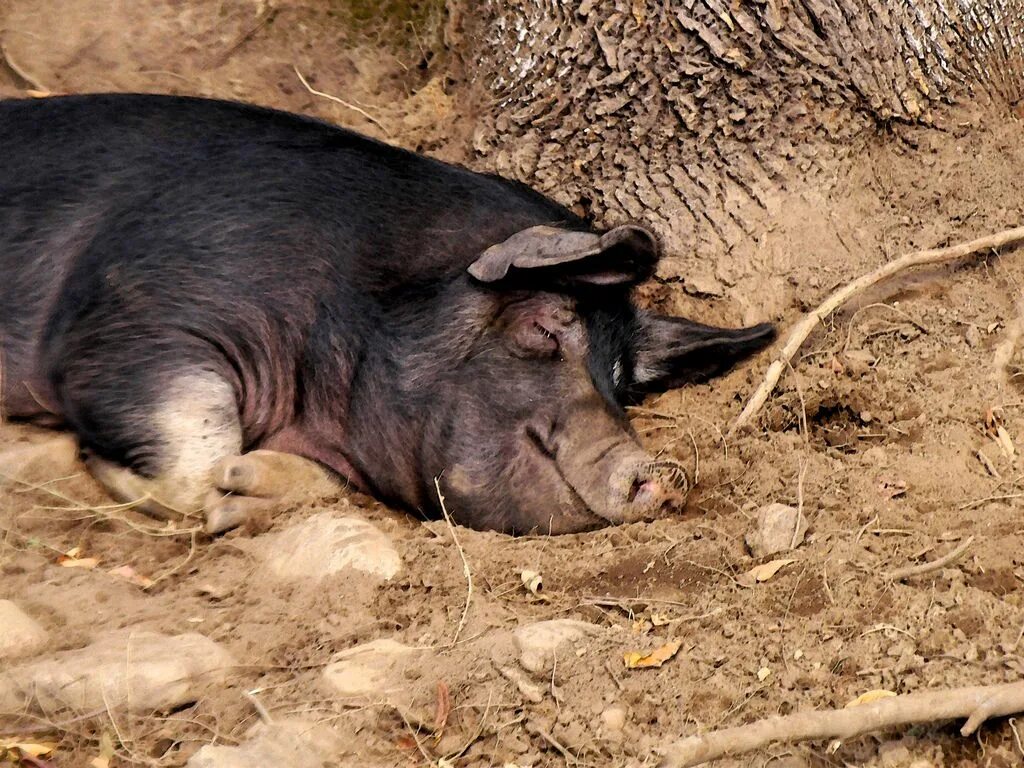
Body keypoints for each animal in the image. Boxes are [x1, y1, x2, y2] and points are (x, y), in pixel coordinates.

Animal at [0, 94, 770, 536]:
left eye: (624, 383)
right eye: (544, 325)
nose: (664, 474)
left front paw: (246, 489)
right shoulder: (136, 317)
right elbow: (191, 451)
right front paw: (128, 470)